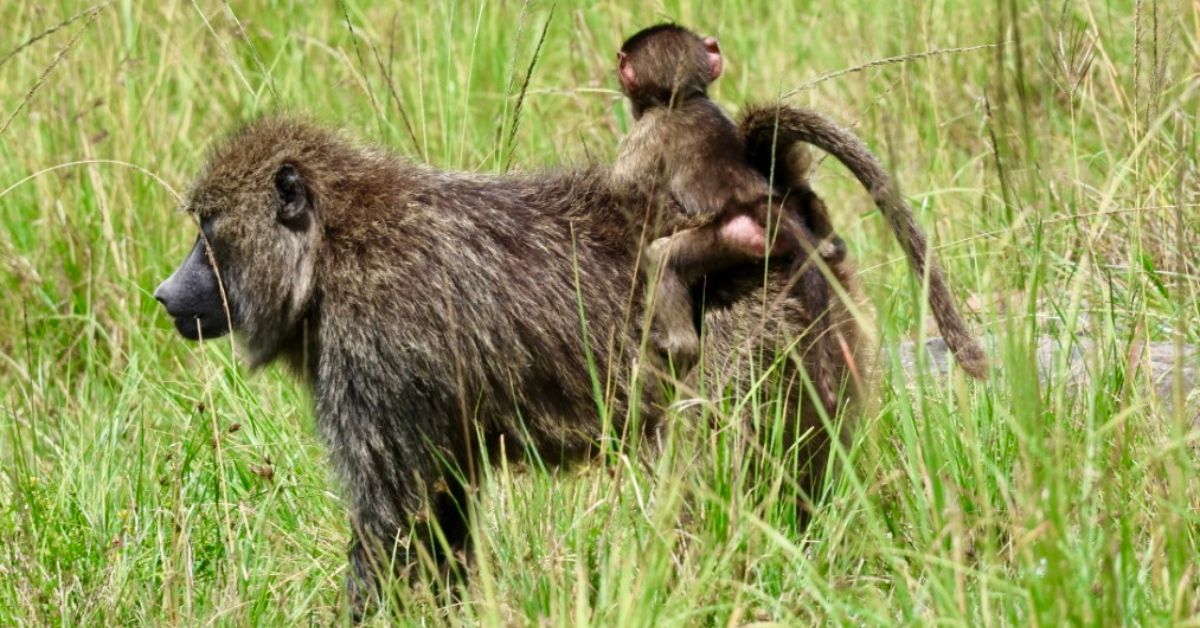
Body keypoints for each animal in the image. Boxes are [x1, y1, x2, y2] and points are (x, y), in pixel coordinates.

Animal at [153, 115, 865, 619]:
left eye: (207, 231)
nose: (164, 294)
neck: (329, 250)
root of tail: (779, 206)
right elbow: (438, 514)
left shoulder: (375, 350)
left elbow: (392, 523)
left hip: (743, 343)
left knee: (709, 493)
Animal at [611, 23, 847, 416]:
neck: (683, 98)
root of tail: (759, 204)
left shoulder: (645, 135)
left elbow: (620, 187)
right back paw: (829, 244)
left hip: (731, 236)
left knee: (662, 257)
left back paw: (678, 345)